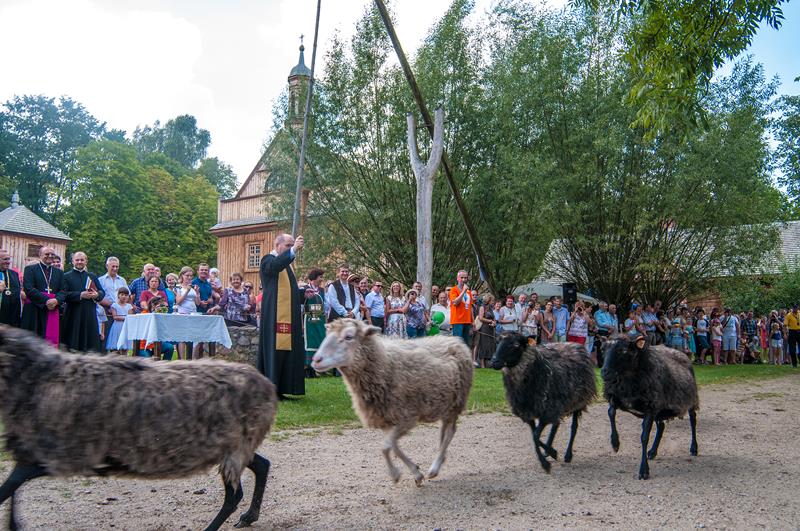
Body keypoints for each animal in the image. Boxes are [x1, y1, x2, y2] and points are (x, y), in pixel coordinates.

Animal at [0, 325, 277, 531]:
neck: (35, 377)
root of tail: (267, 386)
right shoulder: (34, 454)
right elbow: (11, 489)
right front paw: (14, 524)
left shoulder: (47, 455)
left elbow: (7, 488)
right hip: (234, 447)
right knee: (261, 466)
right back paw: (249, 517)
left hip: (234, 447)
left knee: (234, 496)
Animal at [310, 318, 472, 486]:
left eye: (348, 336)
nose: (316, 360)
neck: (384, 364)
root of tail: (455, 340)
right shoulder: (387, 418)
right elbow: (393, 447)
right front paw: (416, 472)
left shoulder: (406, 417)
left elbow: (385, 447)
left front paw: (395, 474)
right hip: (444, 403)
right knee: (444, 431)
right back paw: (439, 459)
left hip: (456, 401)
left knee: (450, 431)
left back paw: (435, 467)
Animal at [489, 332, 597, 473]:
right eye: (497, 341)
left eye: (516, 345)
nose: (494, 362)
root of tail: (576, 345)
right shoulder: (529, 412)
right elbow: (534, 436)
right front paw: (551, 453)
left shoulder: (546, 410)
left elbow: (535, 436)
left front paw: (546, 463)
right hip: (559, 403)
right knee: (556, 424)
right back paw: (549, 451)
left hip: (578, 400)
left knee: (574, 427)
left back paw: (568, 455)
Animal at [601, 334, 699, 480]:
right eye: (603, 349)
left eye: (623, 350)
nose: (604, 372)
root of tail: (682, 353)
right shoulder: (618, 398)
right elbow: (610, 412)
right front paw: (615, 443)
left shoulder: (650, 409)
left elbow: (644, 437)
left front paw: (643, 471)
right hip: (660, 409)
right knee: (661, 426)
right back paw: (653, 451)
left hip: (690, 400)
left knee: (693, 420)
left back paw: (694, 448)